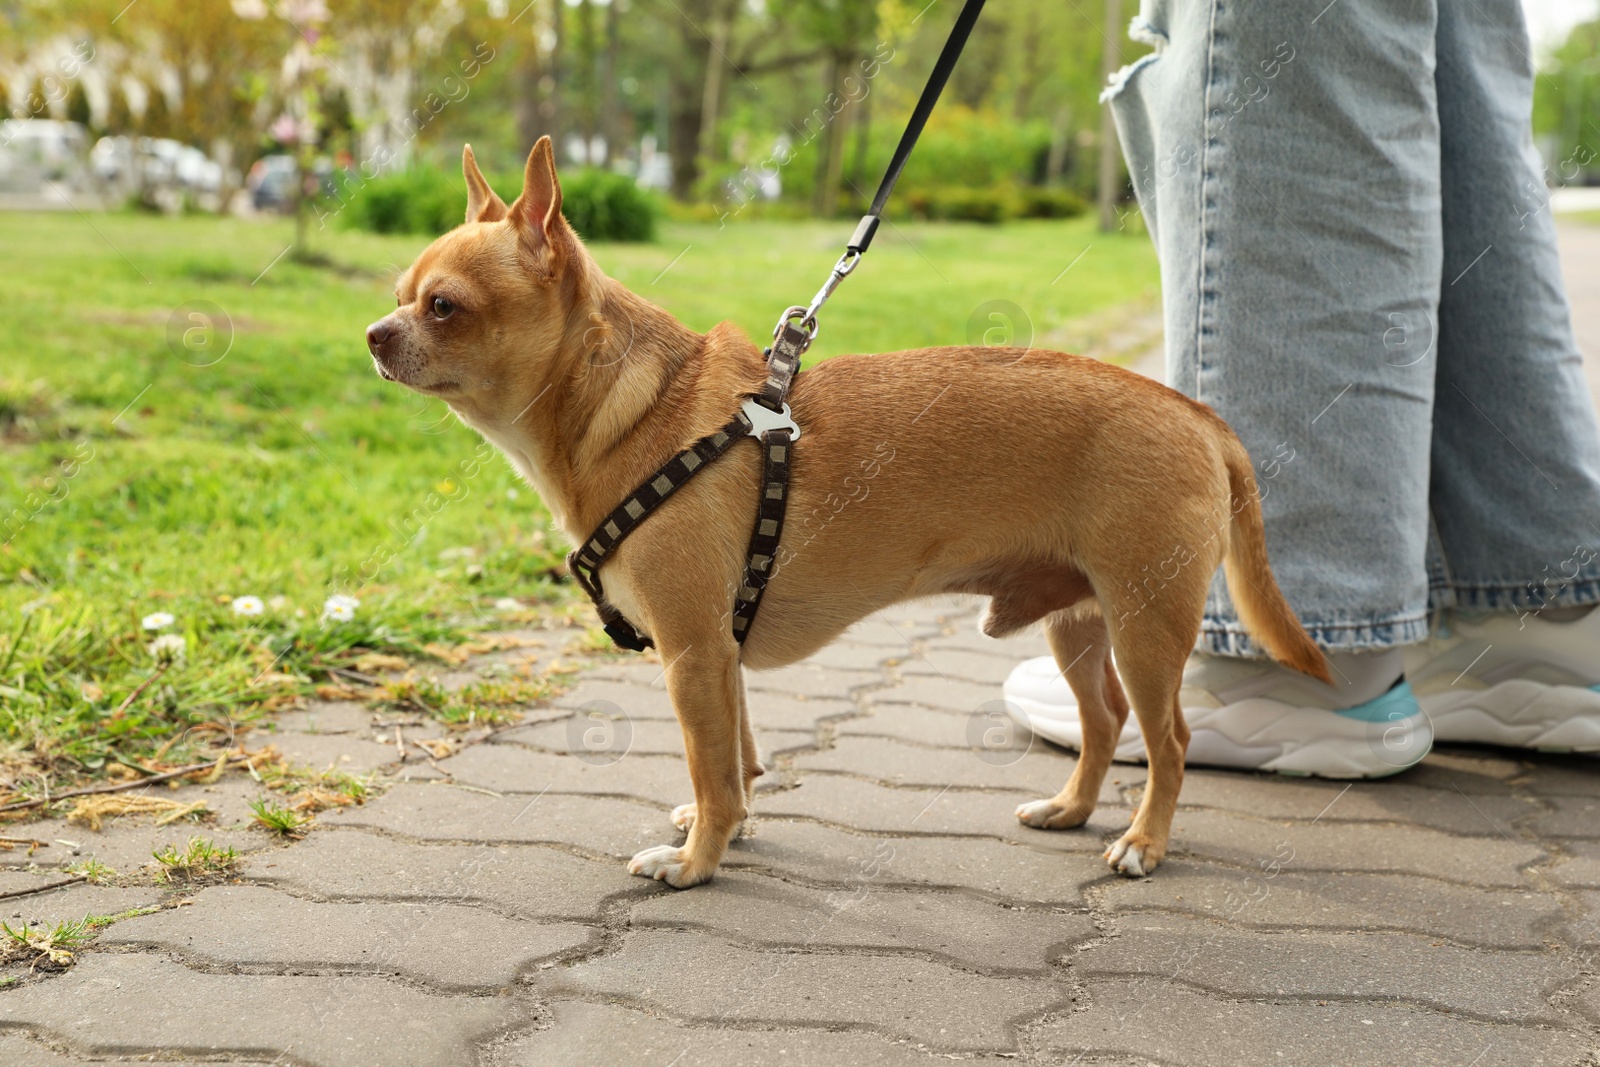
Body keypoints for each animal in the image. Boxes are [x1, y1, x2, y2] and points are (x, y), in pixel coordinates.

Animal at [368, 143, 1331, 895]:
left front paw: (696, 861)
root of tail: (1197, 415)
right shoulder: (719, 656)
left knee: (1168, 739)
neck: (638, 407)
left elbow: (714, 768)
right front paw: (727, 829)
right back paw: (1072, 809)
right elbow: (737, 761)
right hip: (1082, 623)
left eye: (443, 305)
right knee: (1104, 723)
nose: (374, 332)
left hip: (1144, 623)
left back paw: (1143, 843)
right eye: (401, 293)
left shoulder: (692, 654)